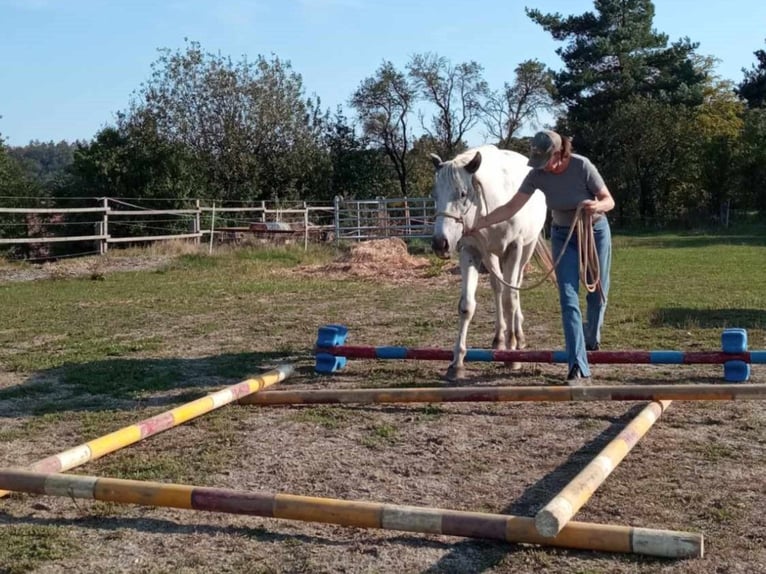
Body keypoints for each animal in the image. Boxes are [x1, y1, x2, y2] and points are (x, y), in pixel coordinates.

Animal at [432, 144, 552, 382]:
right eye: (435, 195)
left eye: (462, 193)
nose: (440, 243)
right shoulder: (470, 252)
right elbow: (467, 306)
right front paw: (456, 363)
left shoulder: (514, 248)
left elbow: (510, 300)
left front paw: (512, 357)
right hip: (491, 256)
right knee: (498, 288)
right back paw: (499, 338)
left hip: (526, 249)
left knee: (514, 288)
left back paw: (518, 337)